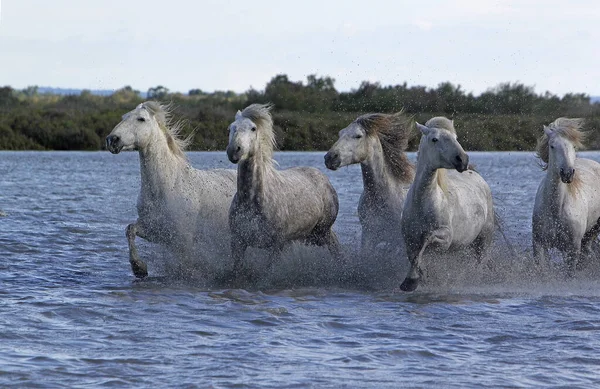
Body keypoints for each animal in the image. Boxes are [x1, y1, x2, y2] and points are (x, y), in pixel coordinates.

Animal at [106, 101, 238, 278]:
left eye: (141, 119)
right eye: (124, 117)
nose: (112, 140)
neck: (166, 187)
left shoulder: (183, 240)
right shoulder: (157, 231)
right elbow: (130, 230)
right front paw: (139, 268)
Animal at [226, 103, 340, 272]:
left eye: (253, 128)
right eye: (230, 128)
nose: (234, 150)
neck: (252, 201)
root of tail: (323, 178)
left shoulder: (276, 245)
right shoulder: (237, 242)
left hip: (322, 232)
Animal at [400, 116, 494, 290]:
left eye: (455, 138)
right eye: (434, 139)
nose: (463, 159)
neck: (422, 203)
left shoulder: (445, 238)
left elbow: (426, 239)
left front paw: (411, 280)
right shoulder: (409, 240)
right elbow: (415, 256)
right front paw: (418, 278)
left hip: (483, 240)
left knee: (480, 264)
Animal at [532, 116, 600, 272]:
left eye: (574, 146)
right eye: (552, 146)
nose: (567, 173)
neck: (555, 210)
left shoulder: (572, 249)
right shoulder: (539, 245)